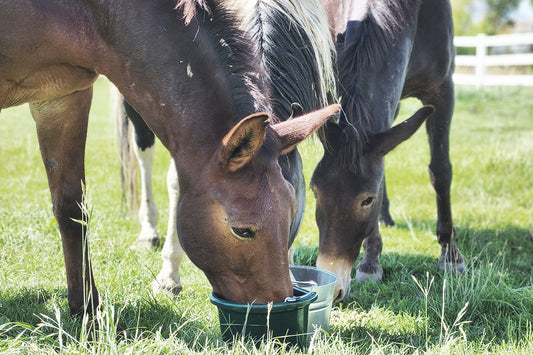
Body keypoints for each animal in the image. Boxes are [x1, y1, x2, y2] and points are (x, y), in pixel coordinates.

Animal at [0, 0, 338, 318]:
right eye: (242, 230)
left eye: (293, 215)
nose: (275, 305)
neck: (93, 13)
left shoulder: (62, 97)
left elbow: (71, 208)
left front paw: (86, 310)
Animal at [312, 0, 466, 304]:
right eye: (315, 191)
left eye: (367, 200)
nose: (332, 289)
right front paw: (371, 261)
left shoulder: (443, 91)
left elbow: (440, 171)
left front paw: (450, 253)